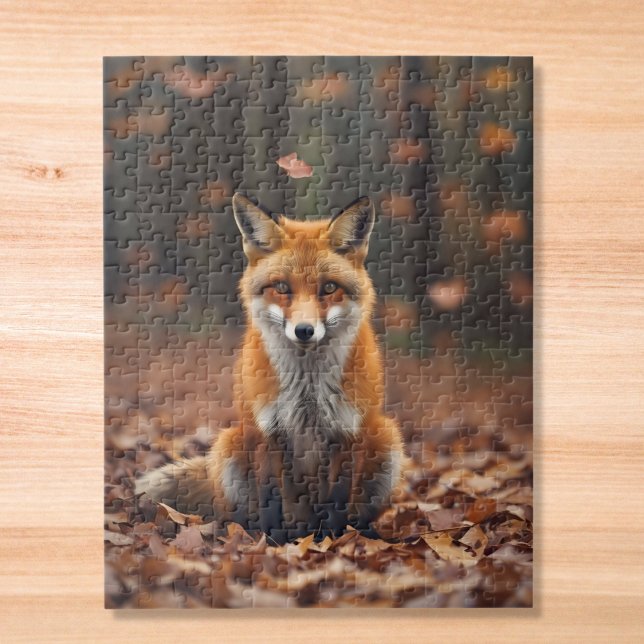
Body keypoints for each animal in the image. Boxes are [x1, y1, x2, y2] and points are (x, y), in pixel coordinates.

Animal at [136, 193, 406, 542]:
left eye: (328, 288)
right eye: (281, 287)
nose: (304, 330)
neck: (307, 391)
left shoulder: (348, 434)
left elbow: (336, 504)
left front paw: (334, 543)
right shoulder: (266, 434)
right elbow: (271, 502)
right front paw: (273, 543)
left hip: (386, 437)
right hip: (230, 444)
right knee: (241, 512)